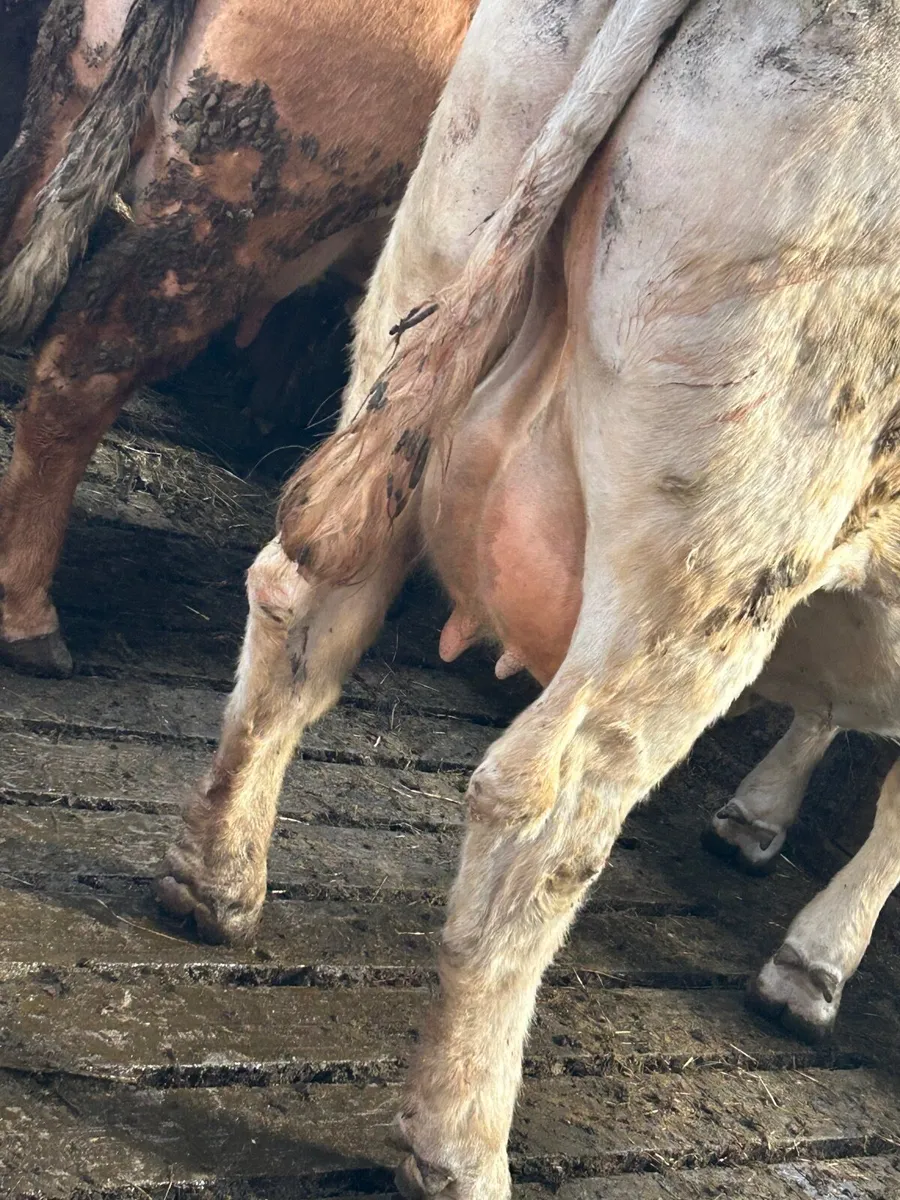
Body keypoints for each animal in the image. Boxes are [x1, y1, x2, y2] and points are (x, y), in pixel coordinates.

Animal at [156, 0, 900, 1196]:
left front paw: (760, 819)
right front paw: (810, 966)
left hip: (421, 302)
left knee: (300, 606)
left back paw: (212, 881)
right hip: (722, 547)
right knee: (547, 808)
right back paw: (459, 1145)